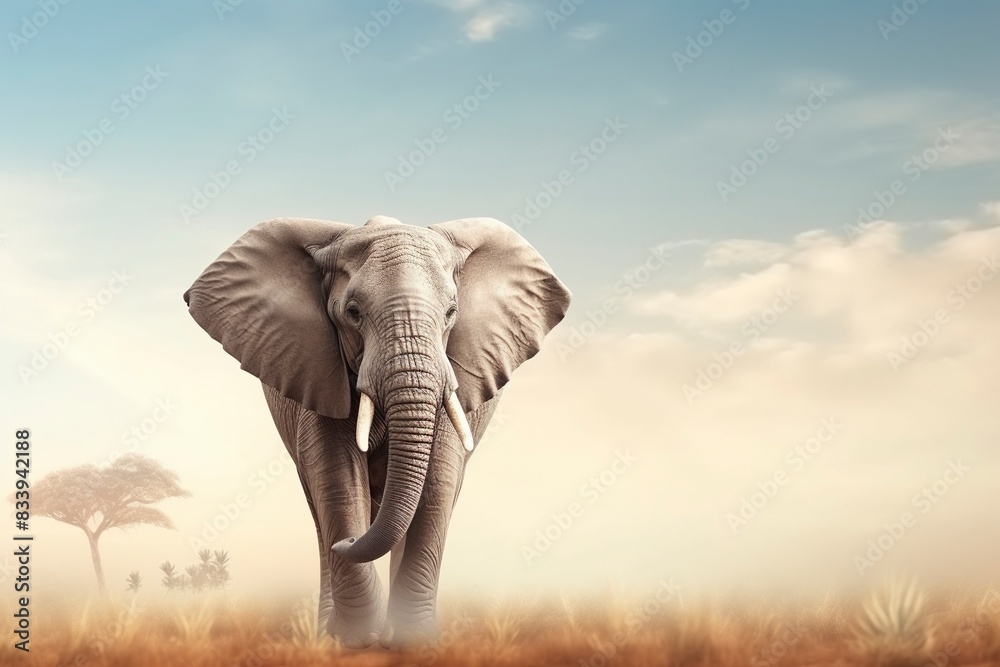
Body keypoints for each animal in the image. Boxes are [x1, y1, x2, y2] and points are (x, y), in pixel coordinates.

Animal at [183, 215, 570, 648]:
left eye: (451, 313)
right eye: (353, 313)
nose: (348, 541)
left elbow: (437, 483)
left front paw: (412, 641)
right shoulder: (319, 373)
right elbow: (337, 477)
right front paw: (355, 639)